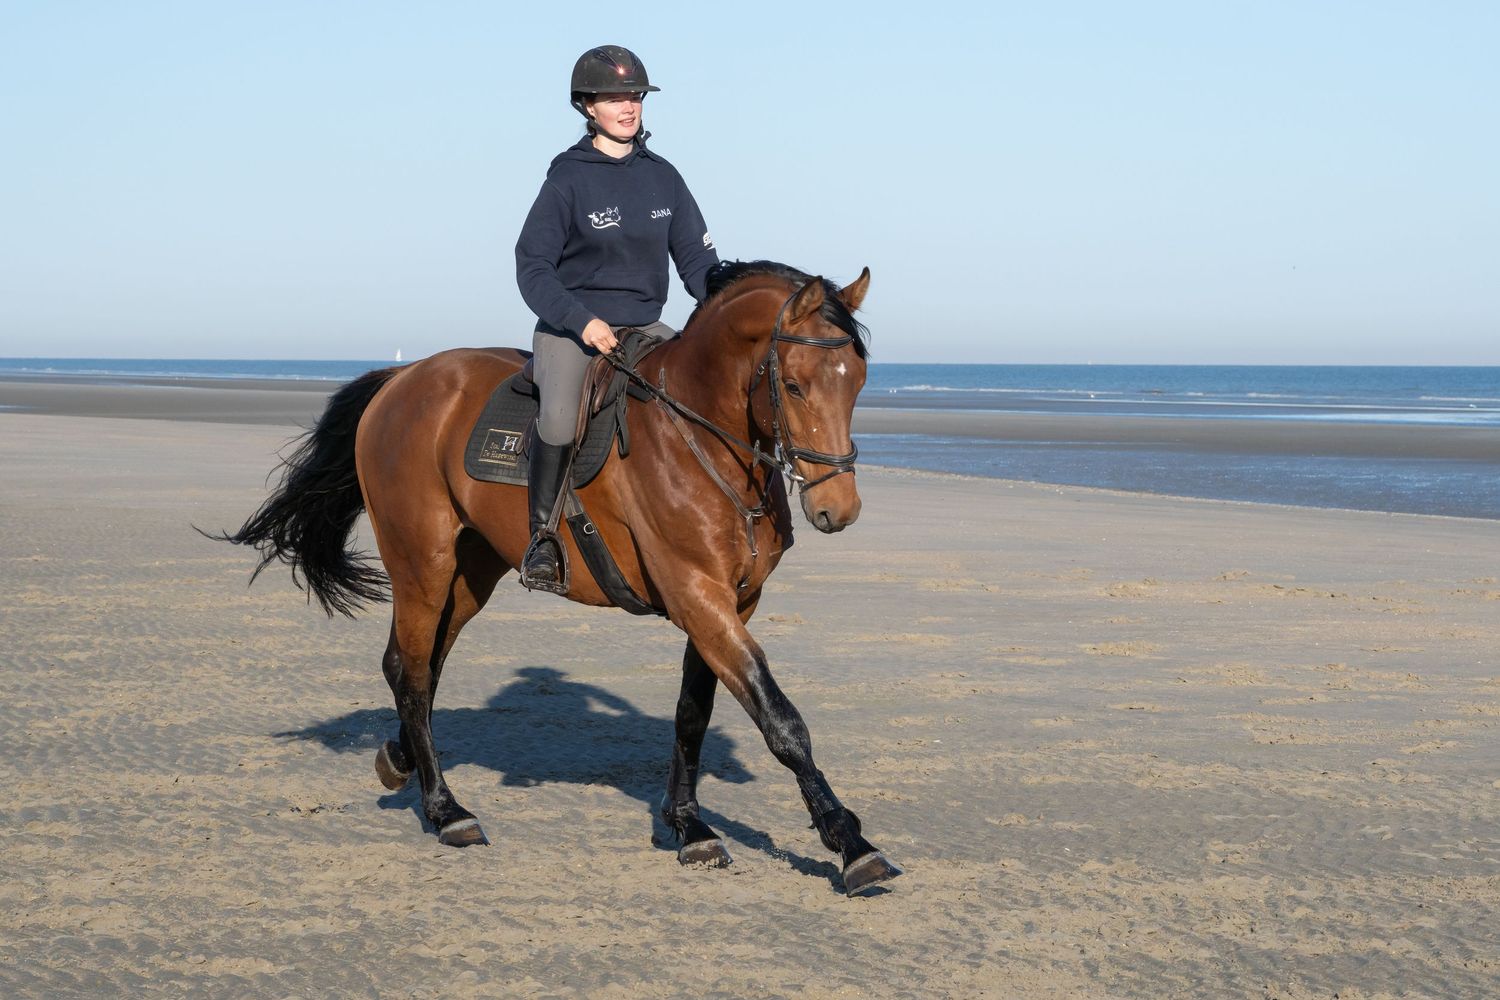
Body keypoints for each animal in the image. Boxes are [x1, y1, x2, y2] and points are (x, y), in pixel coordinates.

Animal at [218, 259, 902, 896]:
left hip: (473, 573)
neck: (702, 441)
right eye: (795, 385)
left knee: (420, 664)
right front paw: (850, 844)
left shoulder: (734, 601)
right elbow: (781, 721)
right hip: (422, 563)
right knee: (410, 672)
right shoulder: (696, 594)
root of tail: (405, 378)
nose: (837, 509)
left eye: (860, 383)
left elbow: (694, 712)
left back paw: (400, 760)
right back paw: (446, 811)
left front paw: (689, 825)